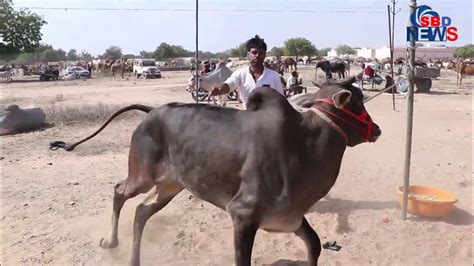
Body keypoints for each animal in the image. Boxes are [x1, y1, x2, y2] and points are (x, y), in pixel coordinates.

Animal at [49, 77, 382, 266]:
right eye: (357, 104)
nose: (377, 128)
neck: (306, 145)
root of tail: (152, 111)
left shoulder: (289, 218)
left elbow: (314, 246)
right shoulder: (243, 215)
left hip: (170, 186)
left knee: (142, 212)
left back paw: (134, 260)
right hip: (142, 176)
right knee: (119, 191)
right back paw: (111, 241)